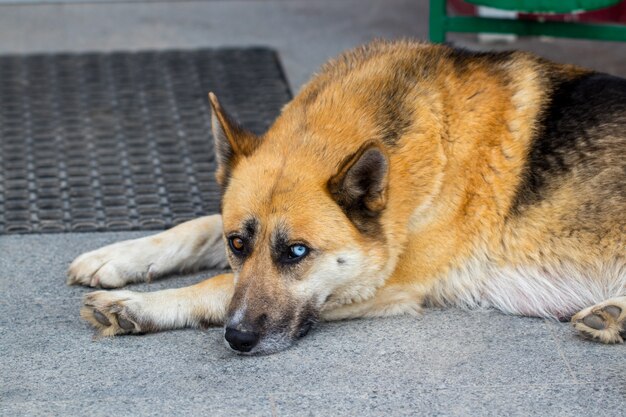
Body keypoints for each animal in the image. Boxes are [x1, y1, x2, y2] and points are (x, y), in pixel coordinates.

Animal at [66, 39, 620, 354]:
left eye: (297, 252)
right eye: (238, 245)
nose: (238, 340)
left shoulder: (385, 285)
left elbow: (217, 286)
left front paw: (138, 306)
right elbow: (196, 228)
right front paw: (116, 257)